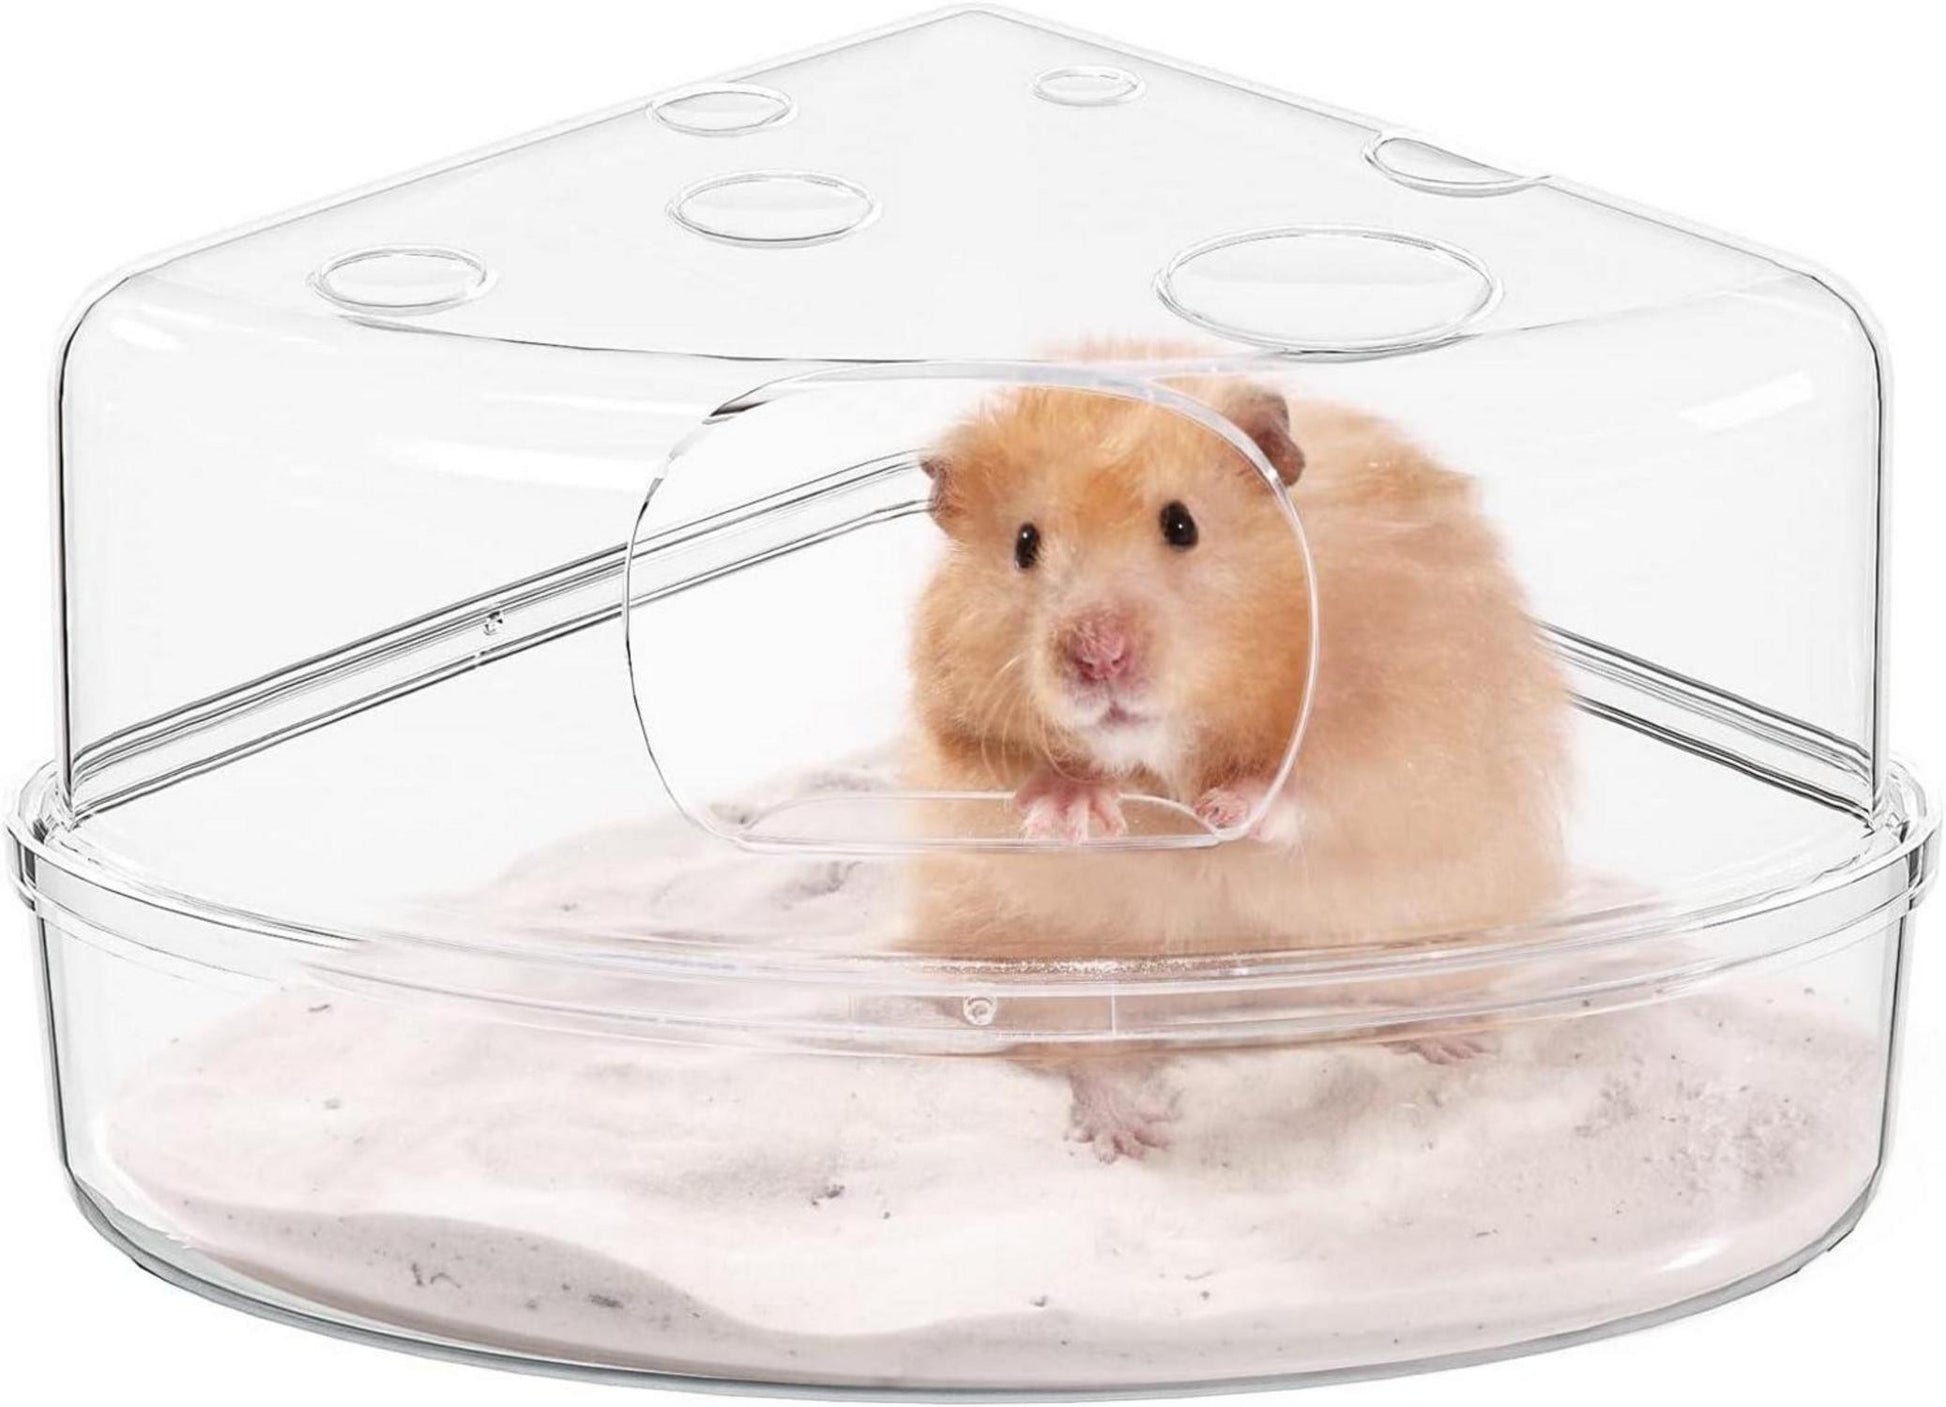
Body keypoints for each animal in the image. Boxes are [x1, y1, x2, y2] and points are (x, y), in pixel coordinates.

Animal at [902, 372, 1571, 1158]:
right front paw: (1076, 809)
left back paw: (1461, 1042)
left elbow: (1329, 777)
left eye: (1182, 525)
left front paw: (1227, 809)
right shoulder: (960, 741)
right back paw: (1132, 1133)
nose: (1099, 655)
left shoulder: (1409, 710)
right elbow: (1007, 776)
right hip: (1049, 975)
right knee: (1090, 1053)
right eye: (1024, 544)